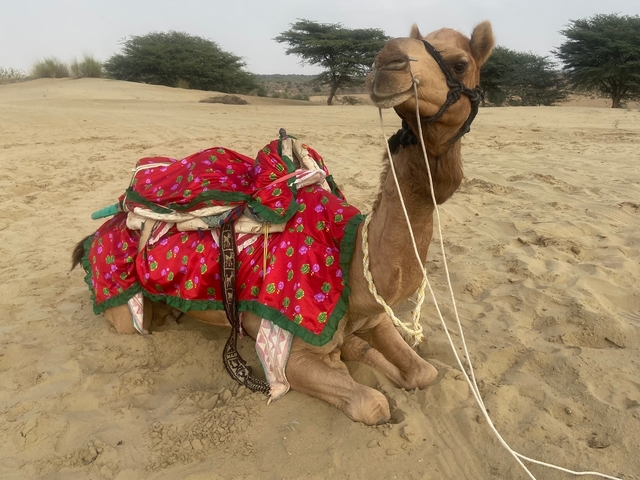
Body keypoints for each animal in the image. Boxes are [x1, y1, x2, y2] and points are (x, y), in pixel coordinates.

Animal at [71, 22, 494, 425]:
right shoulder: (286, 351)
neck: (351, 261)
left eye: (460, 63)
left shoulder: (375, 317)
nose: (388, 61)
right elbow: (373, 404)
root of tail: (97, 231)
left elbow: (424, 372)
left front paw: (367, 353)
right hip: (123, 306)